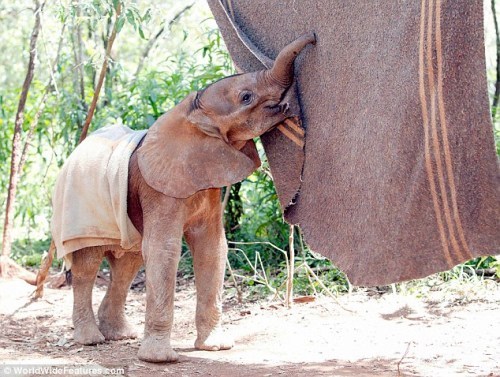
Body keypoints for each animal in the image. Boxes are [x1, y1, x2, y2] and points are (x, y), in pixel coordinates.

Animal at [51, 32, 316, 362]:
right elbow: (165, 250)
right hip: (78, 216)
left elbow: (212, 248)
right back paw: (91, 340)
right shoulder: (158, 189)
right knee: (87, 268)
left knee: (127, 266)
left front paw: (216, 347)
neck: (190, 113)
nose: (313, 38)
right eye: (246, 97)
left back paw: (120, 335)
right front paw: (159, 359)